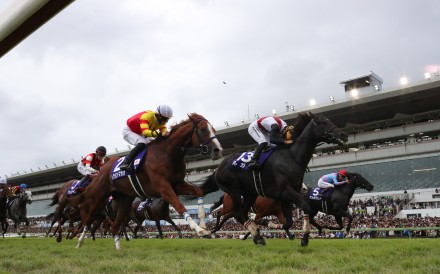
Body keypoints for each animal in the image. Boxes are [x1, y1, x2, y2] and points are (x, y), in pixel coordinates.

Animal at [68, 112, 222, 249]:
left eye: (213, 129)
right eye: (202, 129)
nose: (218, 150)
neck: (167, 153)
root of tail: (103, 168)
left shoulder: (177, 184)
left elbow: (199, 193)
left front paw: (204, 225)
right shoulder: (163, 187)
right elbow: (179, 205)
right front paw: (199, 230)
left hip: (125, 201)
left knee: (116, 226)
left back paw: (118, 248)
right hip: (98, 197)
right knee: (88, 220)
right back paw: (79, 242)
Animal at [199, 111, 348, 246]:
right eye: (324, 122)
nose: (344, 135)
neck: (292, 157)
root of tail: (218, 168)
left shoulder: (285, 197)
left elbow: (288, 222)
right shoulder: (286, 191)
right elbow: (305, 208)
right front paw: (304, 237)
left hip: (250, 194)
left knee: (240, 213)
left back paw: (256, 235)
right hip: (234, 191)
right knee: (235, 213)